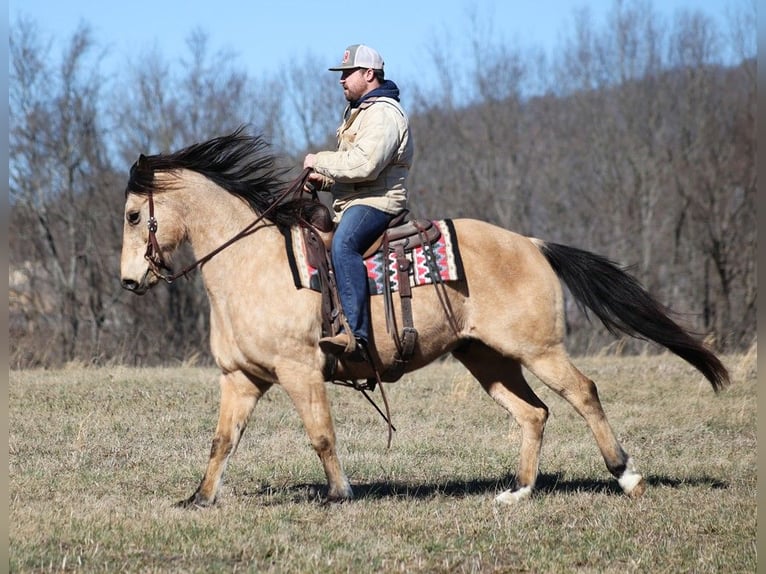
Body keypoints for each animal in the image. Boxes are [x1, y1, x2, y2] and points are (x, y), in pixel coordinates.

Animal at [120, 127, 732, 508]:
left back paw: (626, 475)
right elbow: (222, 441)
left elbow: (321, 436)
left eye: (131, 215)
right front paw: (199, 498)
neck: (253, 264)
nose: (129, 281)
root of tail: (532, 244)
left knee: (582, 393)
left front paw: (340, 495)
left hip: (538, 350)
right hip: (486, 357)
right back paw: (518, 492)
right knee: (533, 414)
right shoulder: (241, 378)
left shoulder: (300, 372)